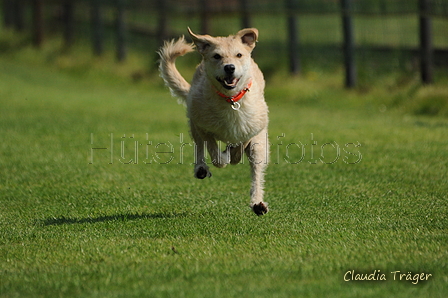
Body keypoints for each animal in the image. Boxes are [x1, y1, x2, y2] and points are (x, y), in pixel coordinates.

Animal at [158, 27, 270, 214]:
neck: (230, 100)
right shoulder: (202, 126)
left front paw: (233, 153)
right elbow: (214, 153)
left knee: (255, 169)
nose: (230, 67)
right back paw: (202, 168)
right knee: (199, 146)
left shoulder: (253, 130)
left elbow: (242, 149)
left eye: (239, 55)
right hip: (194, 121)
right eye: (217, 56)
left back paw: (257, 203)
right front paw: (223, 157)